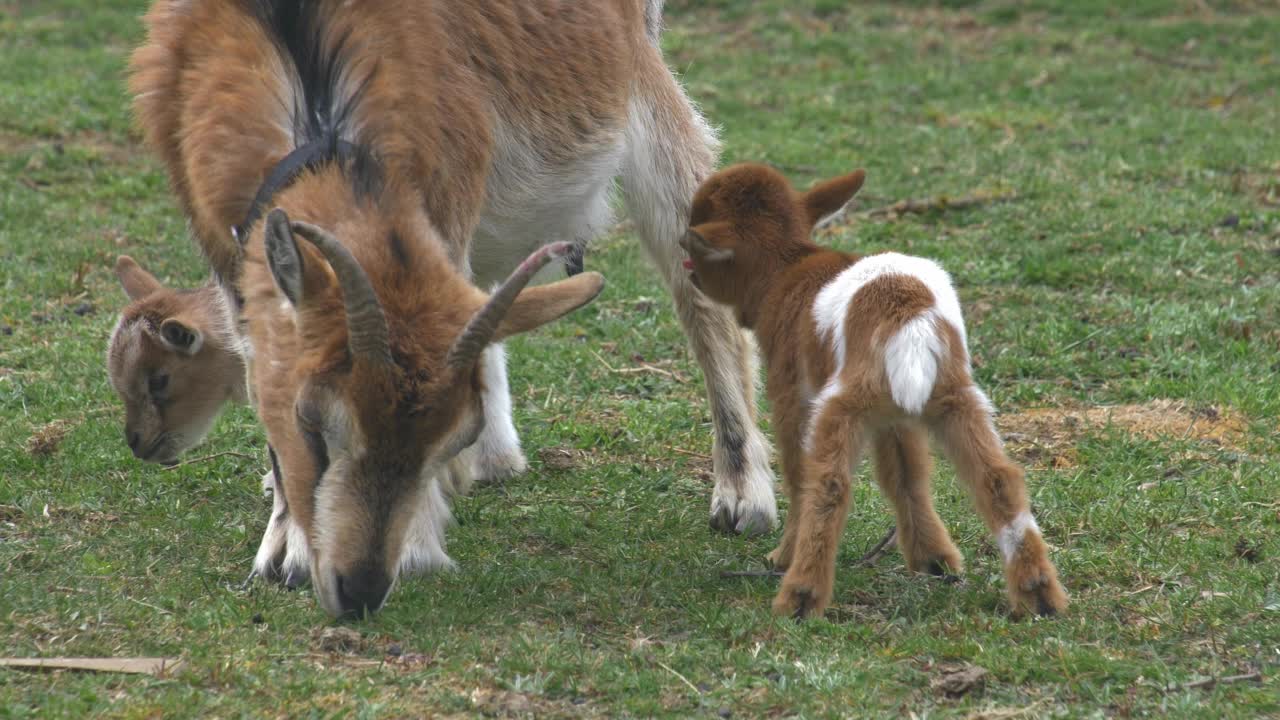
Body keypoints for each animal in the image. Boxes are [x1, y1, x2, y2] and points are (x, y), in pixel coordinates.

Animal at [680, 162, 1070, 617]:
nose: (685, 253)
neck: (788, 267)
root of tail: (910, 322)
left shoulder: (791, 395)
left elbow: (798, 473)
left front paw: (781, 556)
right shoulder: (894, 419)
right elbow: (905, 474)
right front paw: (933, 558)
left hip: (841, 404)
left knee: (829, 485)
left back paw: (800, 596)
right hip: (955, 399)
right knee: (996, 478)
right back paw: (1039, 594)